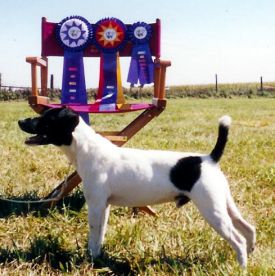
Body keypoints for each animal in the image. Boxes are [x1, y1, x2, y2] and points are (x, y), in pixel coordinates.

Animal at [18, 108, 256, 268]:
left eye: (46, 119)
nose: (20, 120)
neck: (86, 149)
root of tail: (208, 159)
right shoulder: (104, 207)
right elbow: (100, 235)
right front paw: (97, 258)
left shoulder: (95, 206)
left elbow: (94, 236)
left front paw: (90, 259)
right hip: (225, 205)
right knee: (248, 229)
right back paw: (251, 252)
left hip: (212, 211)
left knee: (238, 239)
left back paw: (242, 266)